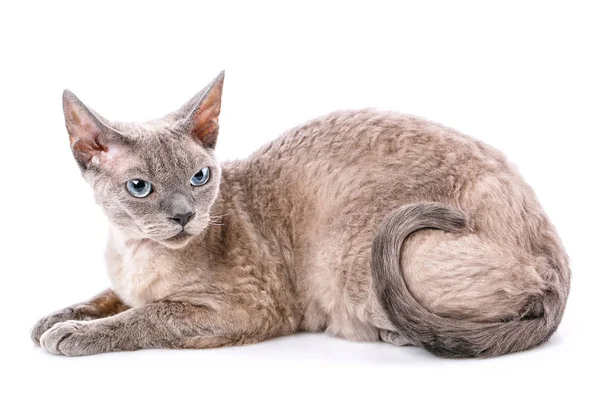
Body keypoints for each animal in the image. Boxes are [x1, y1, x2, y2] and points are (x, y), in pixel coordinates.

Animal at [30, 72, 568, 360]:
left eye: (200, 178)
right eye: (140, 188)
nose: (183, 217)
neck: (135, 252)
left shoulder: (245, 309)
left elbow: (149, 314)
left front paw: (71, 336)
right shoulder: (121, 284)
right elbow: (103, 298)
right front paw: (53, 320)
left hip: (356, 259)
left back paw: (393, 333)